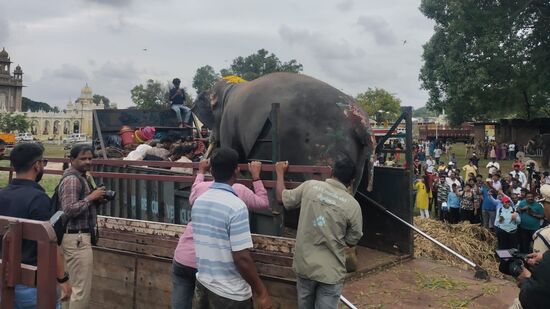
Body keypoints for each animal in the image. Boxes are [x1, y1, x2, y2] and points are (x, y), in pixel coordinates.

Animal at [192, 72, 378, 191]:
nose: (202, 160)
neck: (232, 87)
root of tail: (361, 121)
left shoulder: (228, 123)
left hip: (324, 149)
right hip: (358, 157)